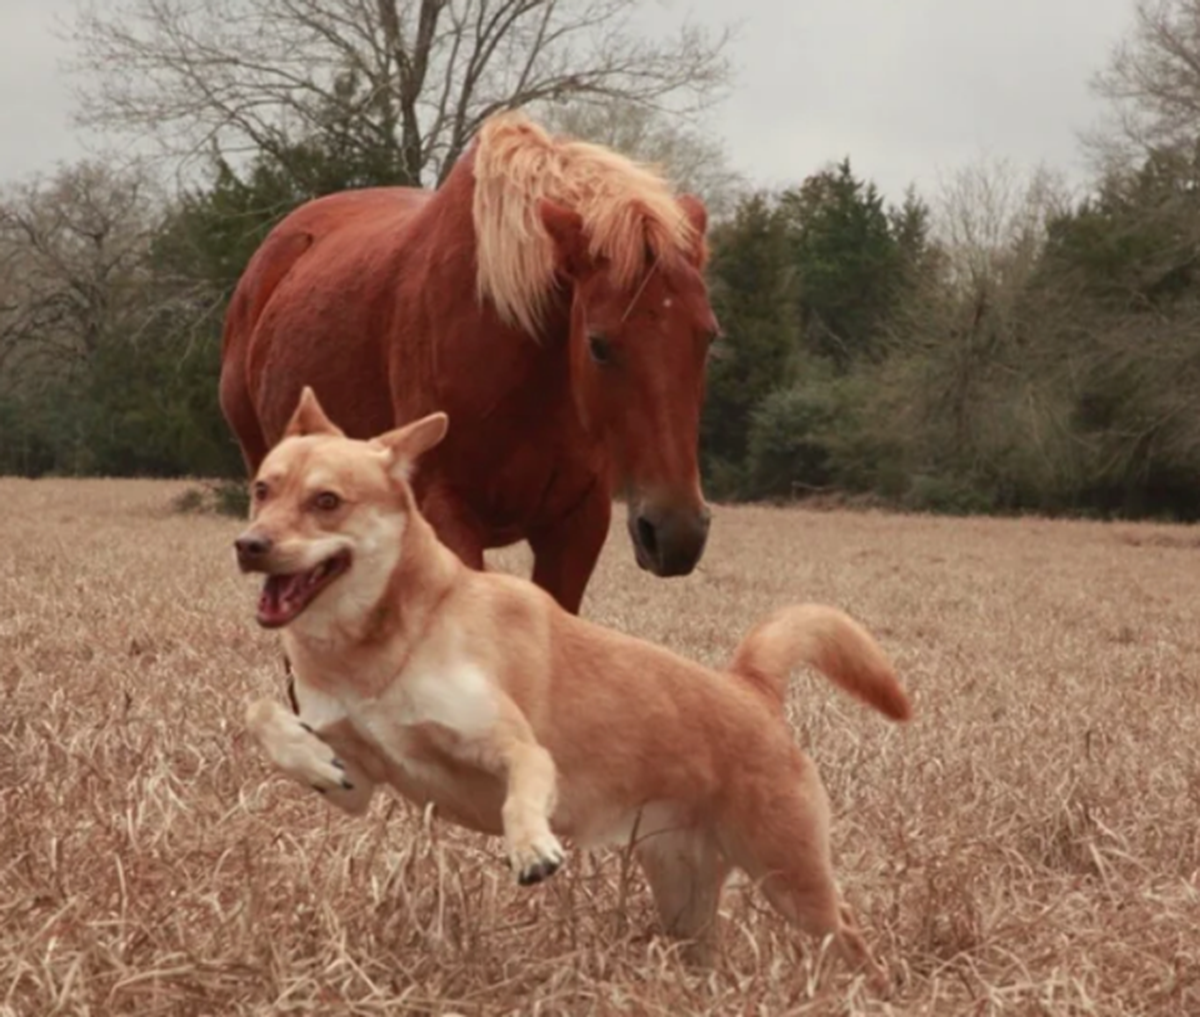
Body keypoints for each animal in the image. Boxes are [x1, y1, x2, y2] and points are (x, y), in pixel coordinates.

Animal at [234, 386, 907, 983]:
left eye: (327, 501)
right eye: (262, 489)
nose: (248, 545)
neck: (393, 637)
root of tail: (751, 688)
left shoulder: (515, 745)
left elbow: (523, 789)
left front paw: (532, 848)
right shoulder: (365, 781)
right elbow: (264, 715)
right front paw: (311, 758)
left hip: (789, 875)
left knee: (851, 940)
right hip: (684, 892)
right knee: (708, 957)